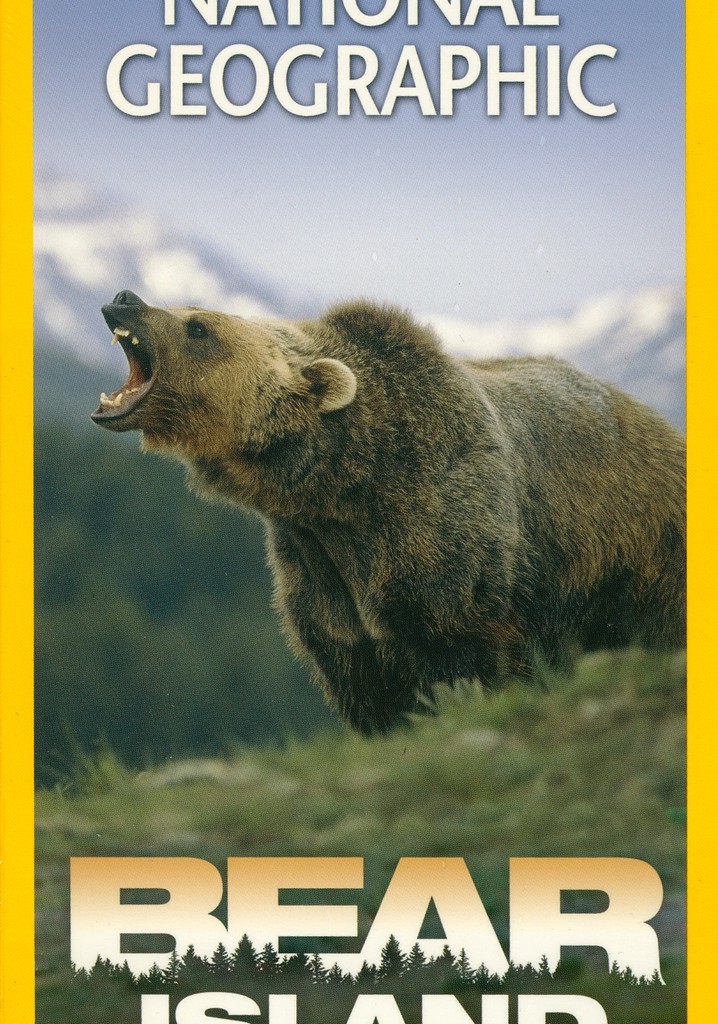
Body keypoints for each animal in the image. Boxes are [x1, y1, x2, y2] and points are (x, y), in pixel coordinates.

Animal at [92, 289, 686, 734]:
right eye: (187, 310)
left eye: (198, 326)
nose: (125, 299)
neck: (341, 491)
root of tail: (656, 419)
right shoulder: (320, 578)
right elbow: (366, 686)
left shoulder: (447, 552)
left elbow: (473, 660)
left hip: (638, 551)